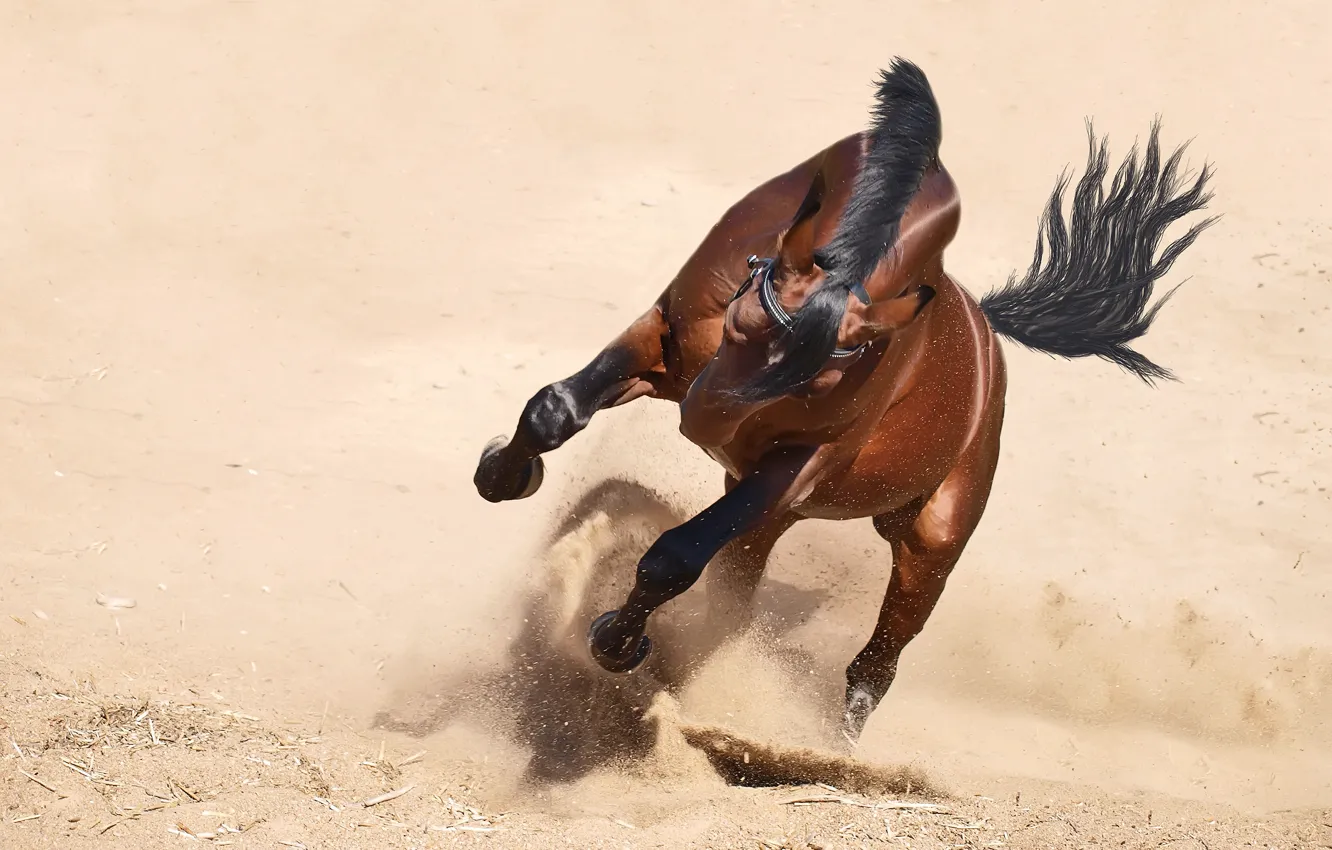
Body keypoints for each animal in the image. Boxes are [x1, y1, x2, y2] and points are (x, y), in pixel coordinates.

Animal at [473, 58, 1216, 744]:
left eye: (819, 381)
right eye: (739, 317)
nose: (705, 425)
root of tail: (988, 336)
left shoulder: (798, 462)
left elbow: (675, 555)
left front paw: (616, 643)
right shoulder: (661, 339)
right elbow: (554, 410)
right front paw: (503, 473)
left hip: (925, 542)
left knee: (874, 665)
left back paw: (828, 746)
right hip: (763, 516)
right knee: (734, 607)